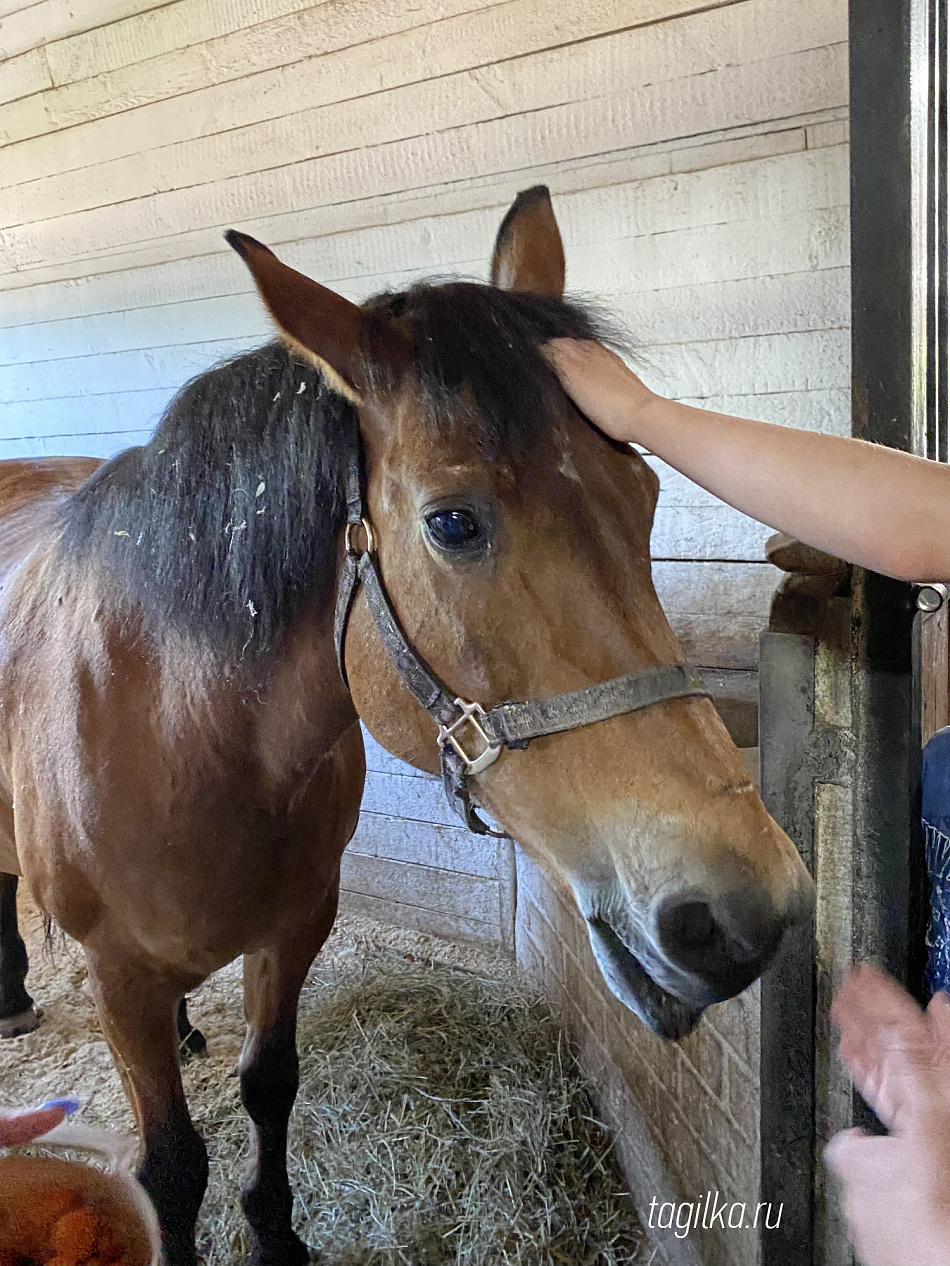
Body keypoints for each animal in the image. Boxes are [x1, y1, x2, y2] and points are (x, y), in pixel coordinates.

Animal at [0, 189, 810, 1266]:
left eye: (642, 496)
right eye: (453, 524)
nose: (744, 909)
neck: (184, 734)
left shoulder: (294, 925)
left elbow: (270, 1084)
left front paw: (278, 1237)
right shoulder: (119, 975)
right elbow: (169, 1169)